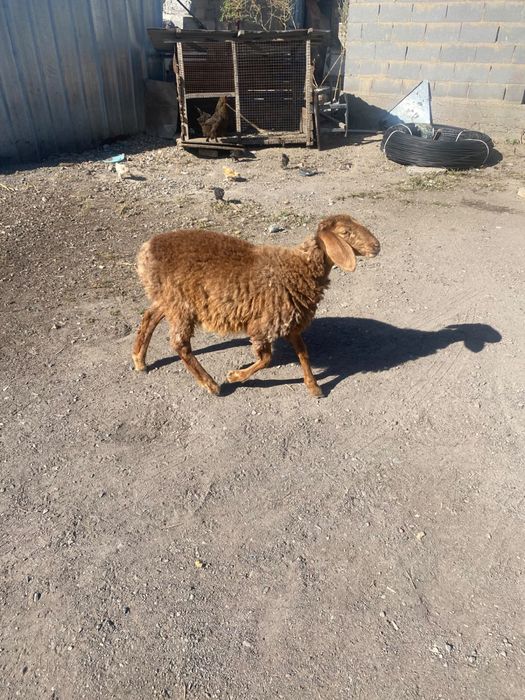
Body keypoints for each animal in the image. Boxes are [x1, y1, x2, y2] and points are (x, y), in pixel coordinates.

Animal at [132, 214, 380, 397]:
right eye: (345, 233)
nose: (377, 246)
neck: (299, 269)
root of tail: (146, 250)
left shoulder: (290, 320)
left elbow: (303, 353)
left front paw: (313, 386)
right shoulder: (265, 323)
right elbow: (266, 359)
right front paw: (235, 376)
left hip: (168, 298)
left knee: (150, 316)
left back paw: (139, 360)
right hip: (180, 303)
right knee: (179, 343)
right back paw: (211, 385)